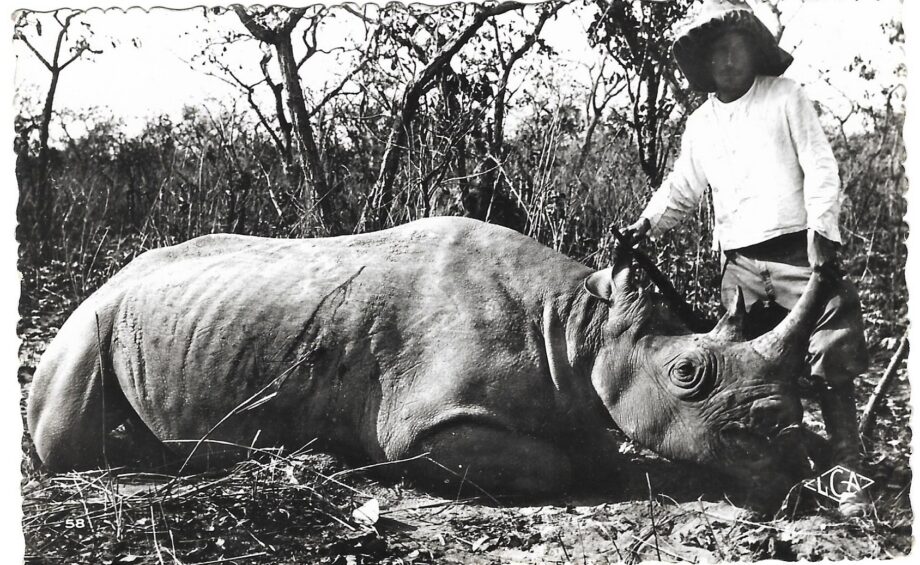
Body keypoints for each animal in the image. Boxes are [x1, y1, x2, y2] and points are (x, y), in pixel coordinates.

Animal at [28, 217, 827, 498]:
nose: (792, 456)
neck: (583, 326)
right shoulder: (424, 421)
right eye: (688, 374)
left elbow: (592, 446)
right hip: (88, 321)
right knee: (66, 438)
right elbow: (557, 466)